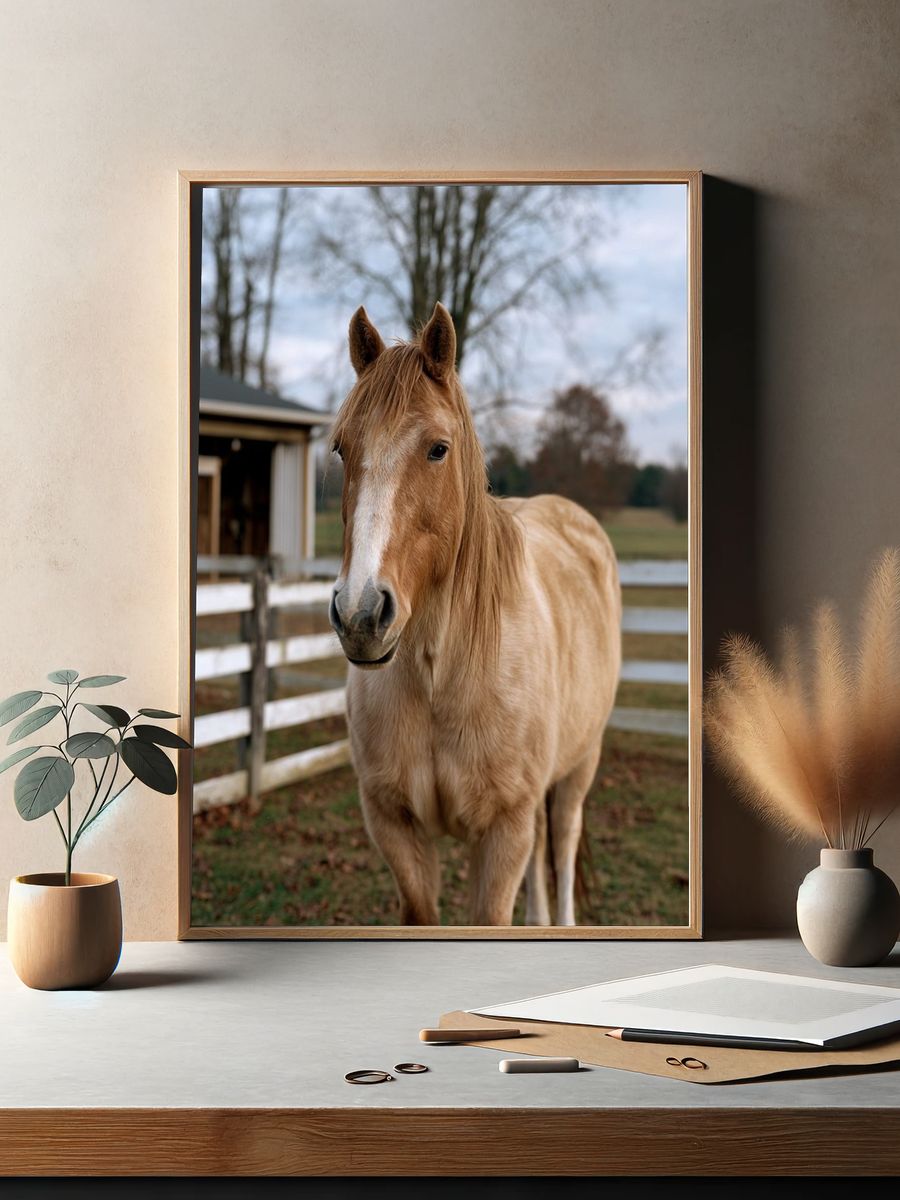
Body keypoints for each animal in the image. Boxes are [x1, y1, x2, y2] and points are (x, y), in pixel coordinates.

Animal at [328, 302, 621, 926]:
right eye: (342, 448)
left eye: (438, 448)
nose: (361, 614)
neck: (441, 676)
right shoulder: (395, 827)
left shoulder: (502, 832)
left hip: (578, 768)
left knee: (562, 842)